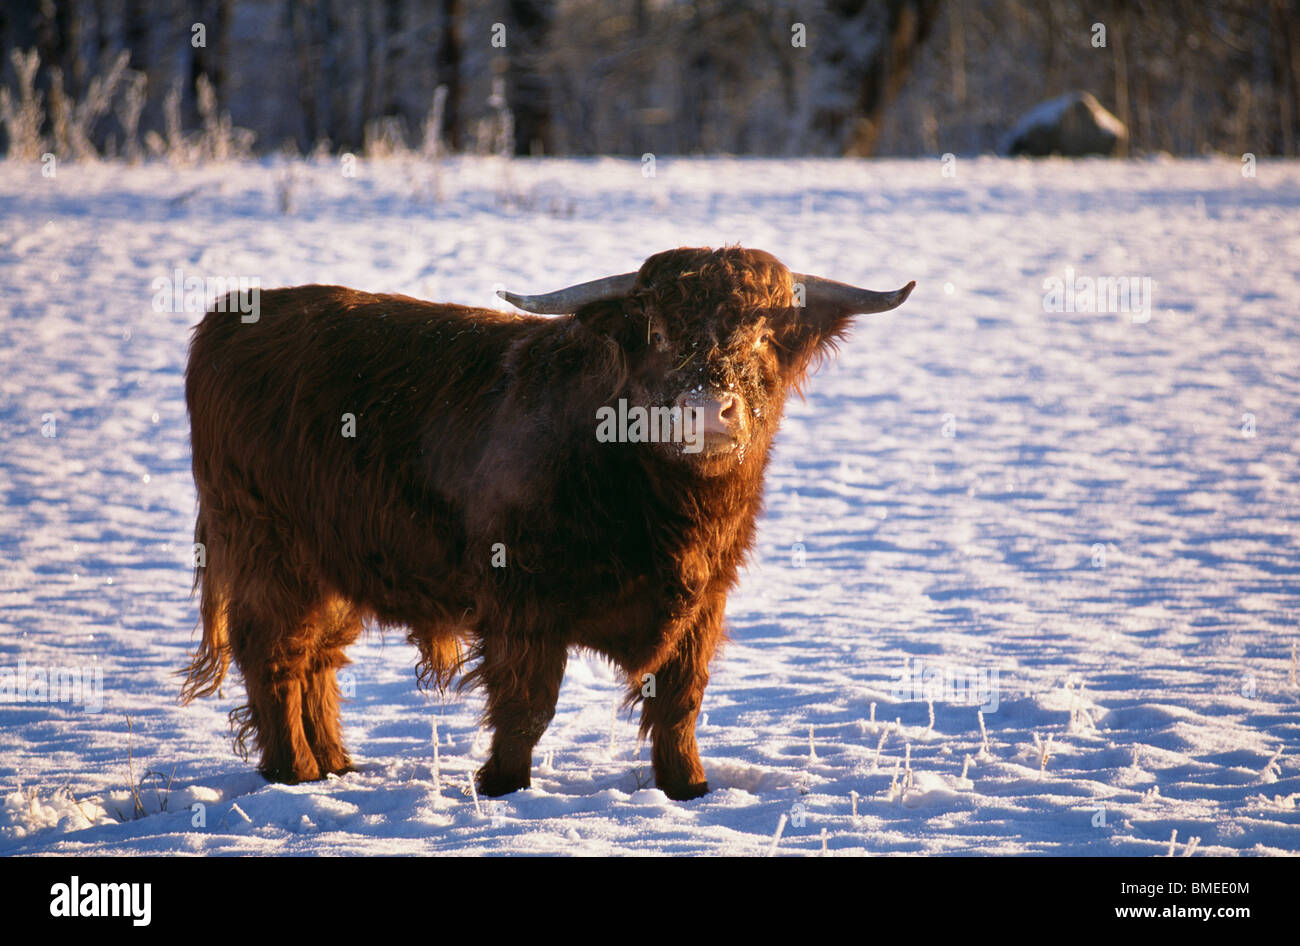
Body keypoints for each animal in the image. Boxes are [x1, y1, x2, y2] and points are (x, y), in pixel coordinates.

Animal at [183, 244, 915, 800]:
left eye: (764, 335)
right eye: (656, 333)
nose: (706, 408)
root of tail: (237, 311)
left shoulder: (705, 603)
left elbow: (681, 702)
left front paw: (689, 789)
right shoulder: (522, 600)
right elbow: (527, 704)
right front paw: (503, 786)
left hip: (336, 564)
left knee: (318, 659)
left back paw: (335, 764)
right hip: (271, 550)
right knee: (276, 655)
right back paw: (297, 773)